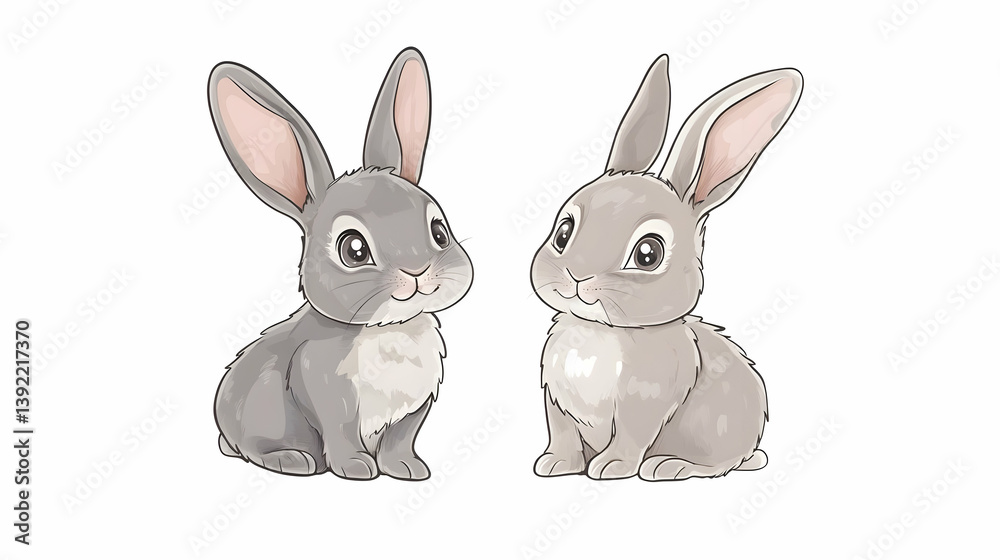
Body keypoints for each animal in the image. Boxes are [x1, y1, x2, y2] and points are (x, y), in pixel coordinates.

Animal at [207, 47, 473, 480]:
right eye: (353, 250)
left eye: (438, 231)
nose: (417, 272)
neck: (389, 328)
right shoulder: (327, 394)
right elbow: (341, 432)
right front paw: (356, 469)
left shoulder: (412, 410)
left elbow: (400, 441)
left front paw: (408, 469)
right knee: (253, 448)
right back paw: (291, 460)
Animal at [530, 54, 802, 481]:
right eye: (563, 232)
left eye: (648, 254)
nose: (576, 277)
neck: (601, 330)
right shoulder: (556, 403)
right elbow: (562, 436)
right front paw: (554, 464)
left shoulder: (642, 407)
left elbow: (629, 438)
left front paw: (610, 467)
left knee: (718, 465)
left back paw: (669, 466)